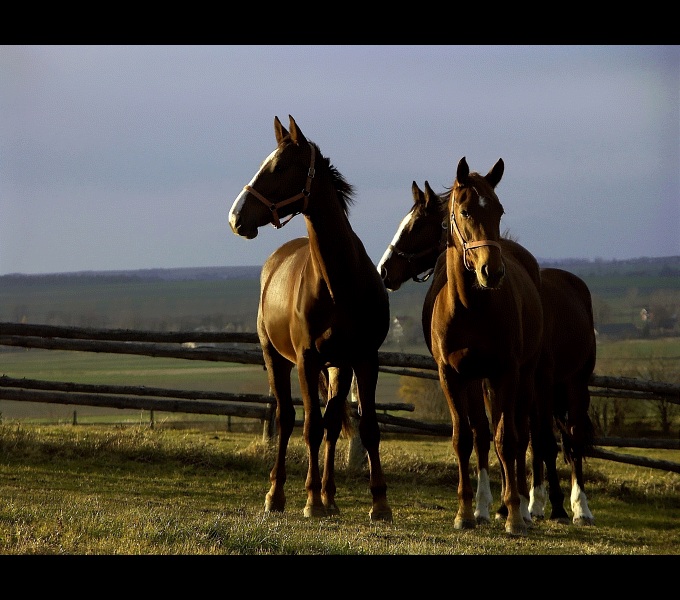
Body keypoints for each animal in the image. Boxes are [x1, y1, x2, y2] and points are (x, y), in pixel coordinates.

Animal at [227, 113, 390, 520]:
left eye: (279, 167)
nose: (236, 218)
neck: (340, 281)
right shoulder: (306, 359)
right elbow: (310, 428)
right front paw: (311, 500)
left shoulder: (364, 359)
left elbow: (367, 427)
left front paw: (379, 502)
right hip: (276, 359)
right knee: (287, 420)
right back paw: (278, 494)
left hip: (337, 366)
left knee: (331, 424)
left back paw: (331, 497)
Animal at [378, 179, 596, 524]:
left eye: (417, 225)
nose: (384, 269)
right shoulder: (474, 378)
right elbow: (484, 433)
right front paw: (487, 505)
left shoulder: (531, 380)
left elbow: (530, 439)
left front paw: (530, 504)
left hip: (571, 383)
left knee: (567, 438)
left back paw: (575, 507)